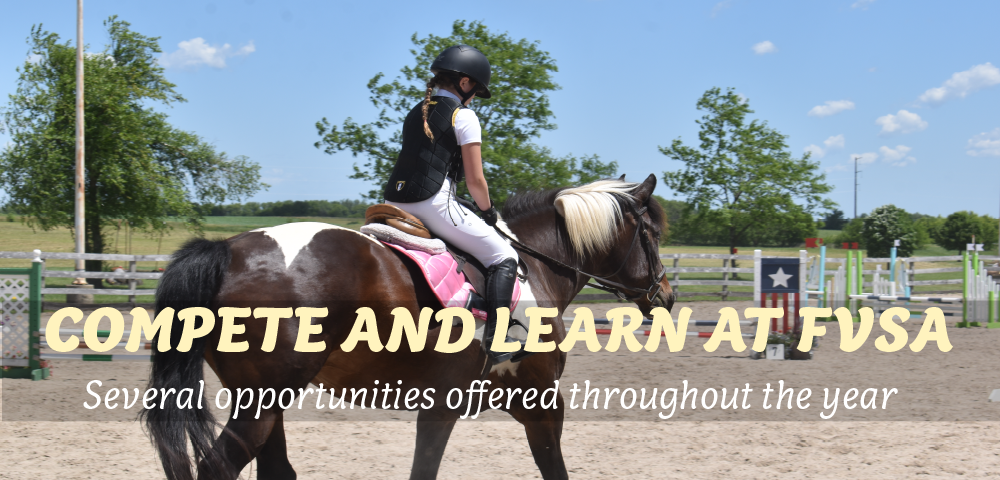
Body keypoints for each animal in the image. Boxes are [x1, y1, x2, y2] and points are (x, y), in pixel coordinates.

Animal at [143, 174, 672, 478]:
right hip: (261, 403)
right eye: (650, 234)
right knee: (219, 467)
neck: (534, 266)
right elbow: (551, 466)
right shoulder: (538, 401)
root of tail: (227, 250)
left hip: (264, 401)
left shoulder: (448, 405)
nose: (666, 295)